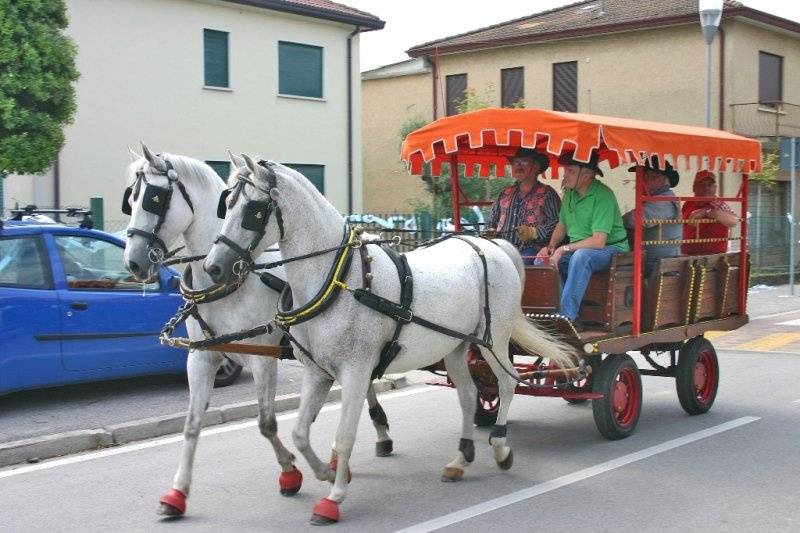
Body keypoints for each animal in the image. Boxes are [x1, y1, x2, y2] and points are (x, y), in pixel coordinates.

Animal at [122, 144, 394, 516]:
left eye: (154, 197)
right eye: (130, 199)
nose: (133, 262)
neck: (226, 284)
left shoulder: (262, 356)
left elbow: (266, 423)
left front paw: (291, 473)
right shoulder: (202, 357)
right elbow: (192, 424)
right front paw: (177, 493)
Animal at [202, 154, 576, 524]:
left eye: (254, 211)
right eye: (227, 204)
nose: (213, 267)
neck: (339, 278)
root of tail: (492, 244)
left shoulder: (355, 372)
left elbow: (345, 435)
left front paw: (333, 497)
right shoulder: (317, 372)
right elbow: (300, 433)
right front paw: (326, 472)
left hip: (494, 340)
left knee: (507, 384)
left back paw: (500, 447)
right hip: (456, 346)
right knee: (469, 395)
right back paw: (460, 460)